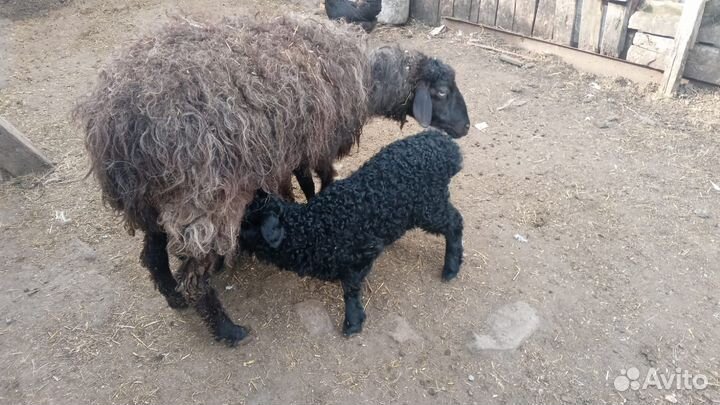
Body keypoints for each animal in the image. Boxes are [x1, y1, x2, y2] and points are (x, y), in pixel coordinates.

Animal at [239, 129, 464, 336]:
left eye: (245, 223)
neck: (313, 229)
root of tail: (449, 149)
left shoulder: (360, 255)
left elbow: (350, 289)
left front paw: (352, 322)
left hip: (429, 206)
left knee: (455, 223)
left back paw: (450, 268)